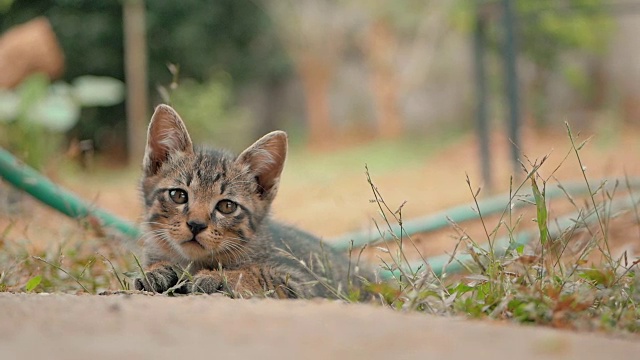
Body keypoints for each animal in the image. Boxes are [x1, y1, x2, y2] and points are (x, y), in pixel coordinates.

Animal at [135, 104, 364, 298]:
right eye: (178, 195)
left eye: (227, 206)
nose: (196, 225)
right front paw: (156, 270)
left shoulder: (302, 283)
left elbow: (258, 273)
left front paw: (220, 277)